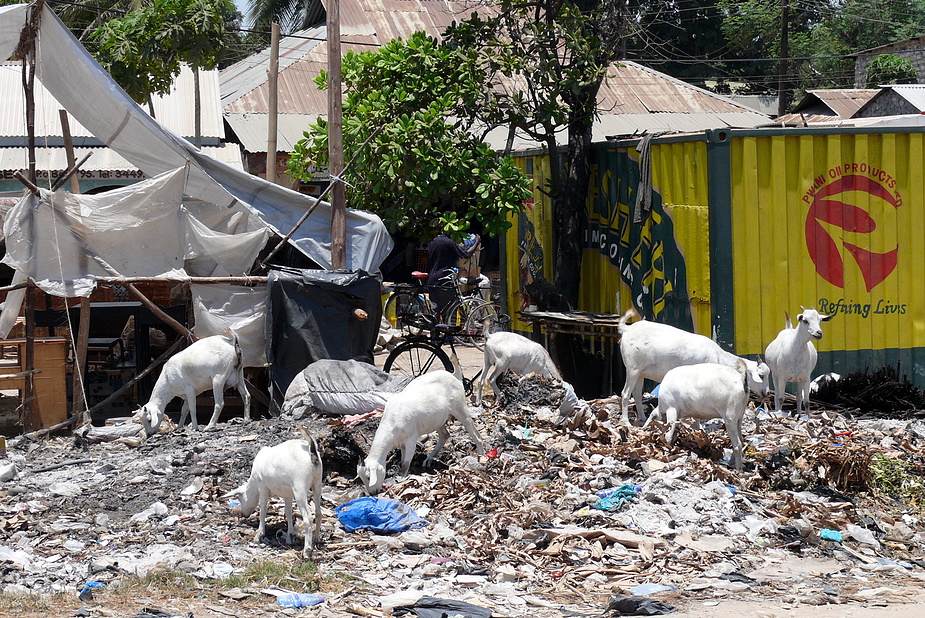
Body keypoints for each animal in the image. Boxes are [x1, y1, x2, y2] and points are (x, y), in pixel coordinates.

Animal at [222, 426, 324, 556]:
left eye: (240, 498)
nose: (244, 514)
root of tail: (311, 450)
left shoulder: (263, 488)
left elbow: (263, 510)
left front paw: (259, 535)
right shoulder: (288, 494)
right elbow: (288, 512)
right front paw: (290, 536)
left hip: (300, 488)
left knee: (308, 518)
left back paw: (307, 550)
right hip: (317, 484)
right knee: (319, 513)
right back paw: (316, 539)